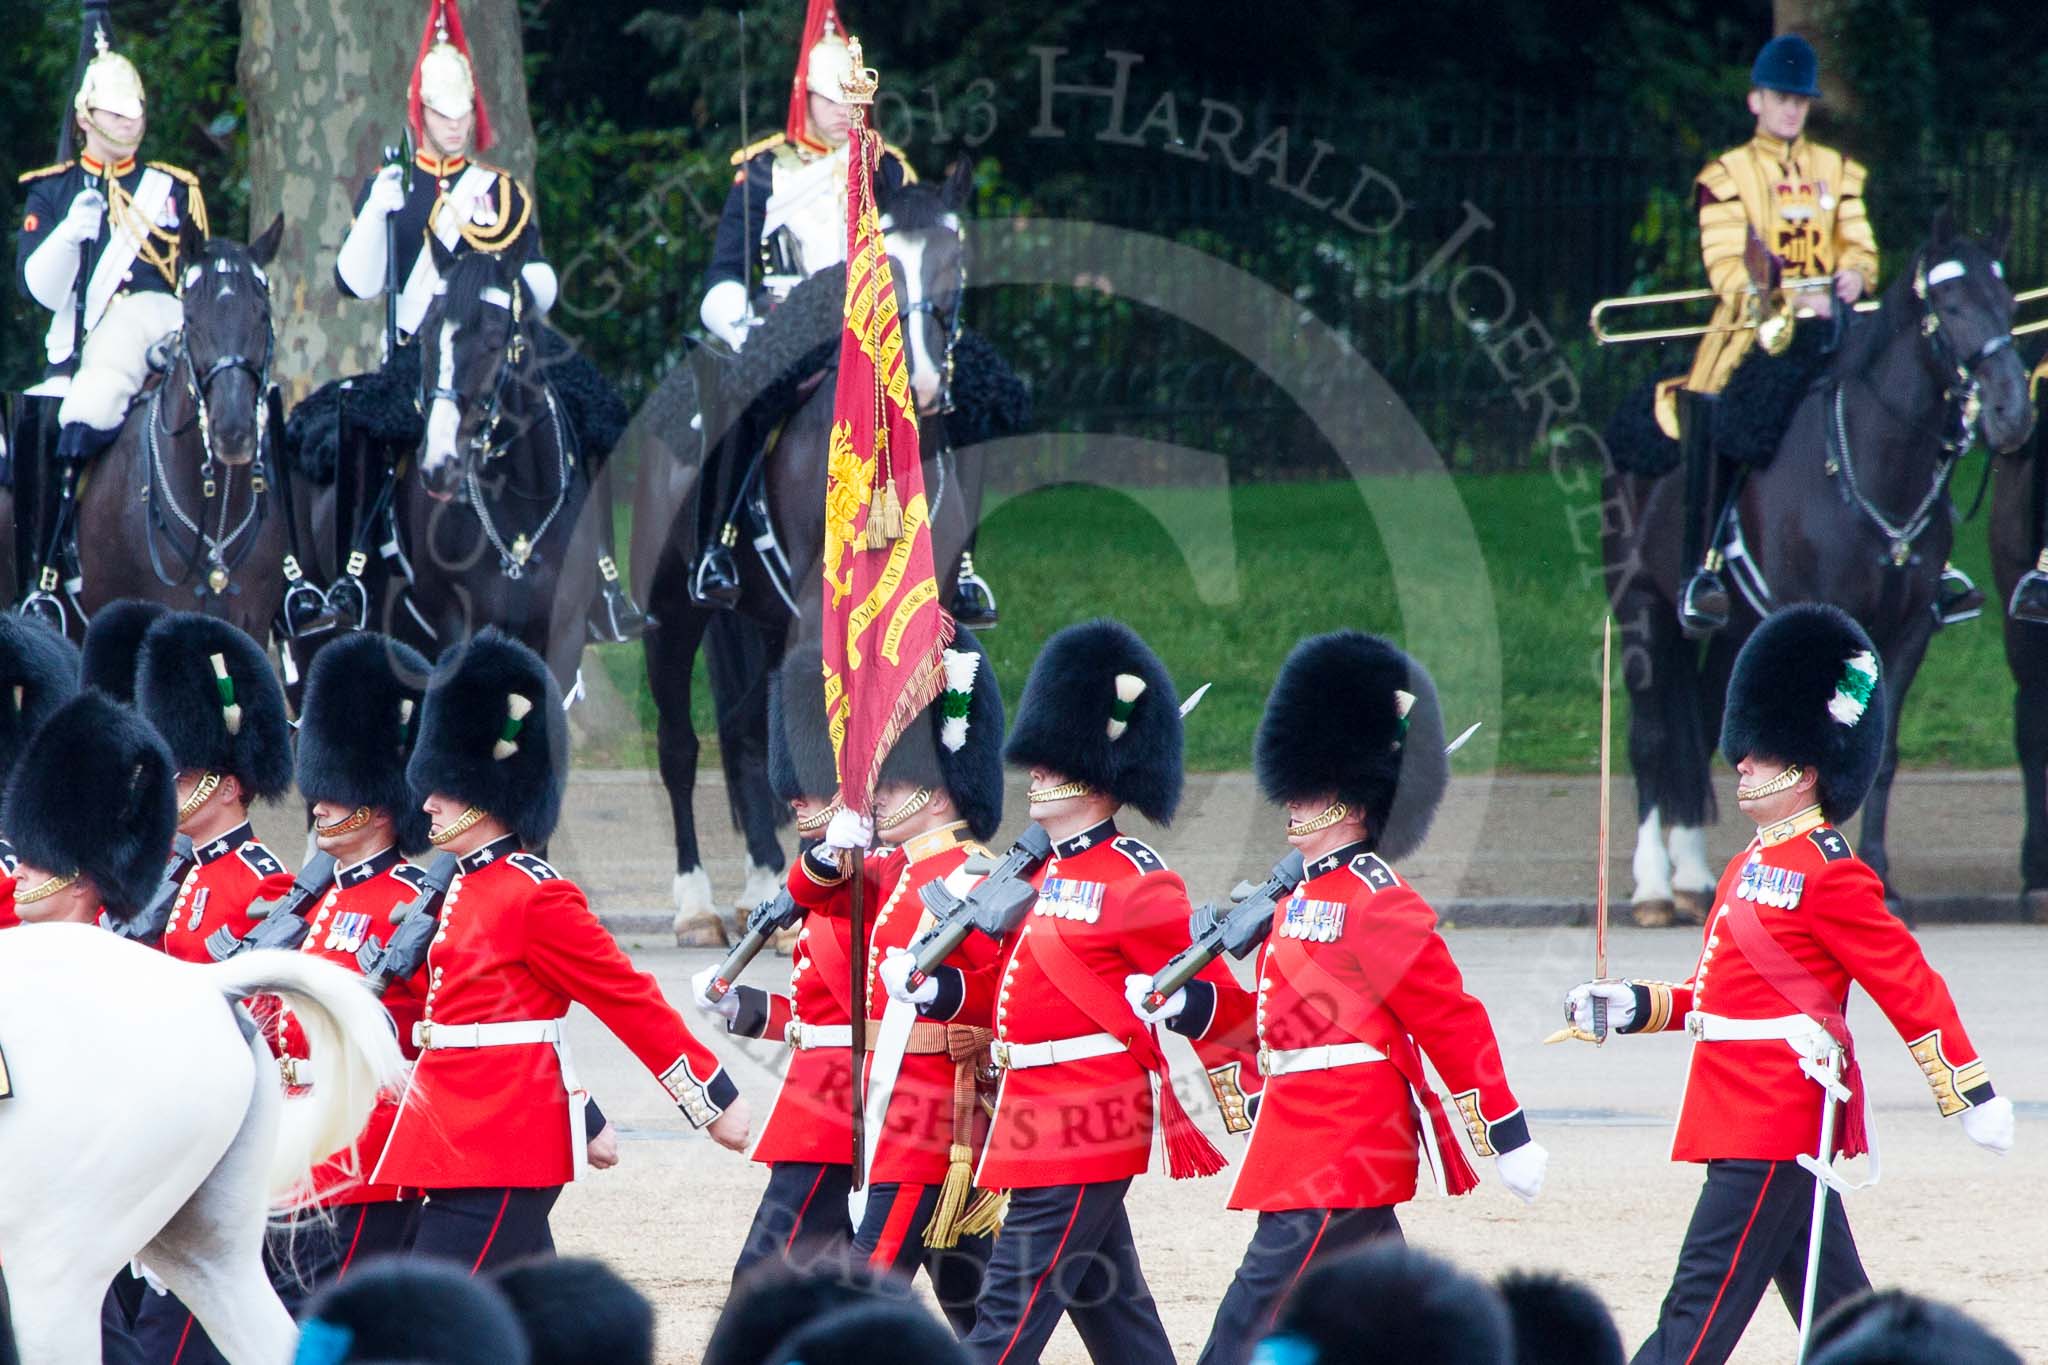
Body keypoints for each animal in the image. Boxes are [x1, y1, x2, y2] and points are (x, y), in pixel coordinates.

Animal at [626, 162, 1003, 941]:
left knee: (745, 733)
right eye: (882, 260)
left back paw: (761, 882)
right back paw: (697, 904)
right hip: (672, 614)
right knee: (681, 746)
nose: (922, 380)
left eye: (954, 263)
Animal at [1605, 210, 2039, 916]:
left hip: (1735, 631)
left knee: (1706, 727)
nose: (2012, 414)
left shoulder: (1907, 632)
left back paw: (1694, 876)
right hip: (1640, 605)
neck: (1868, 463)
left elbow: (1882, 754)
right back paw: (1652, 885)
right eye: (1949, 305)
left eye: (2007, 303)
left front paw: (1875, 872)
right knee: (1649, 737)